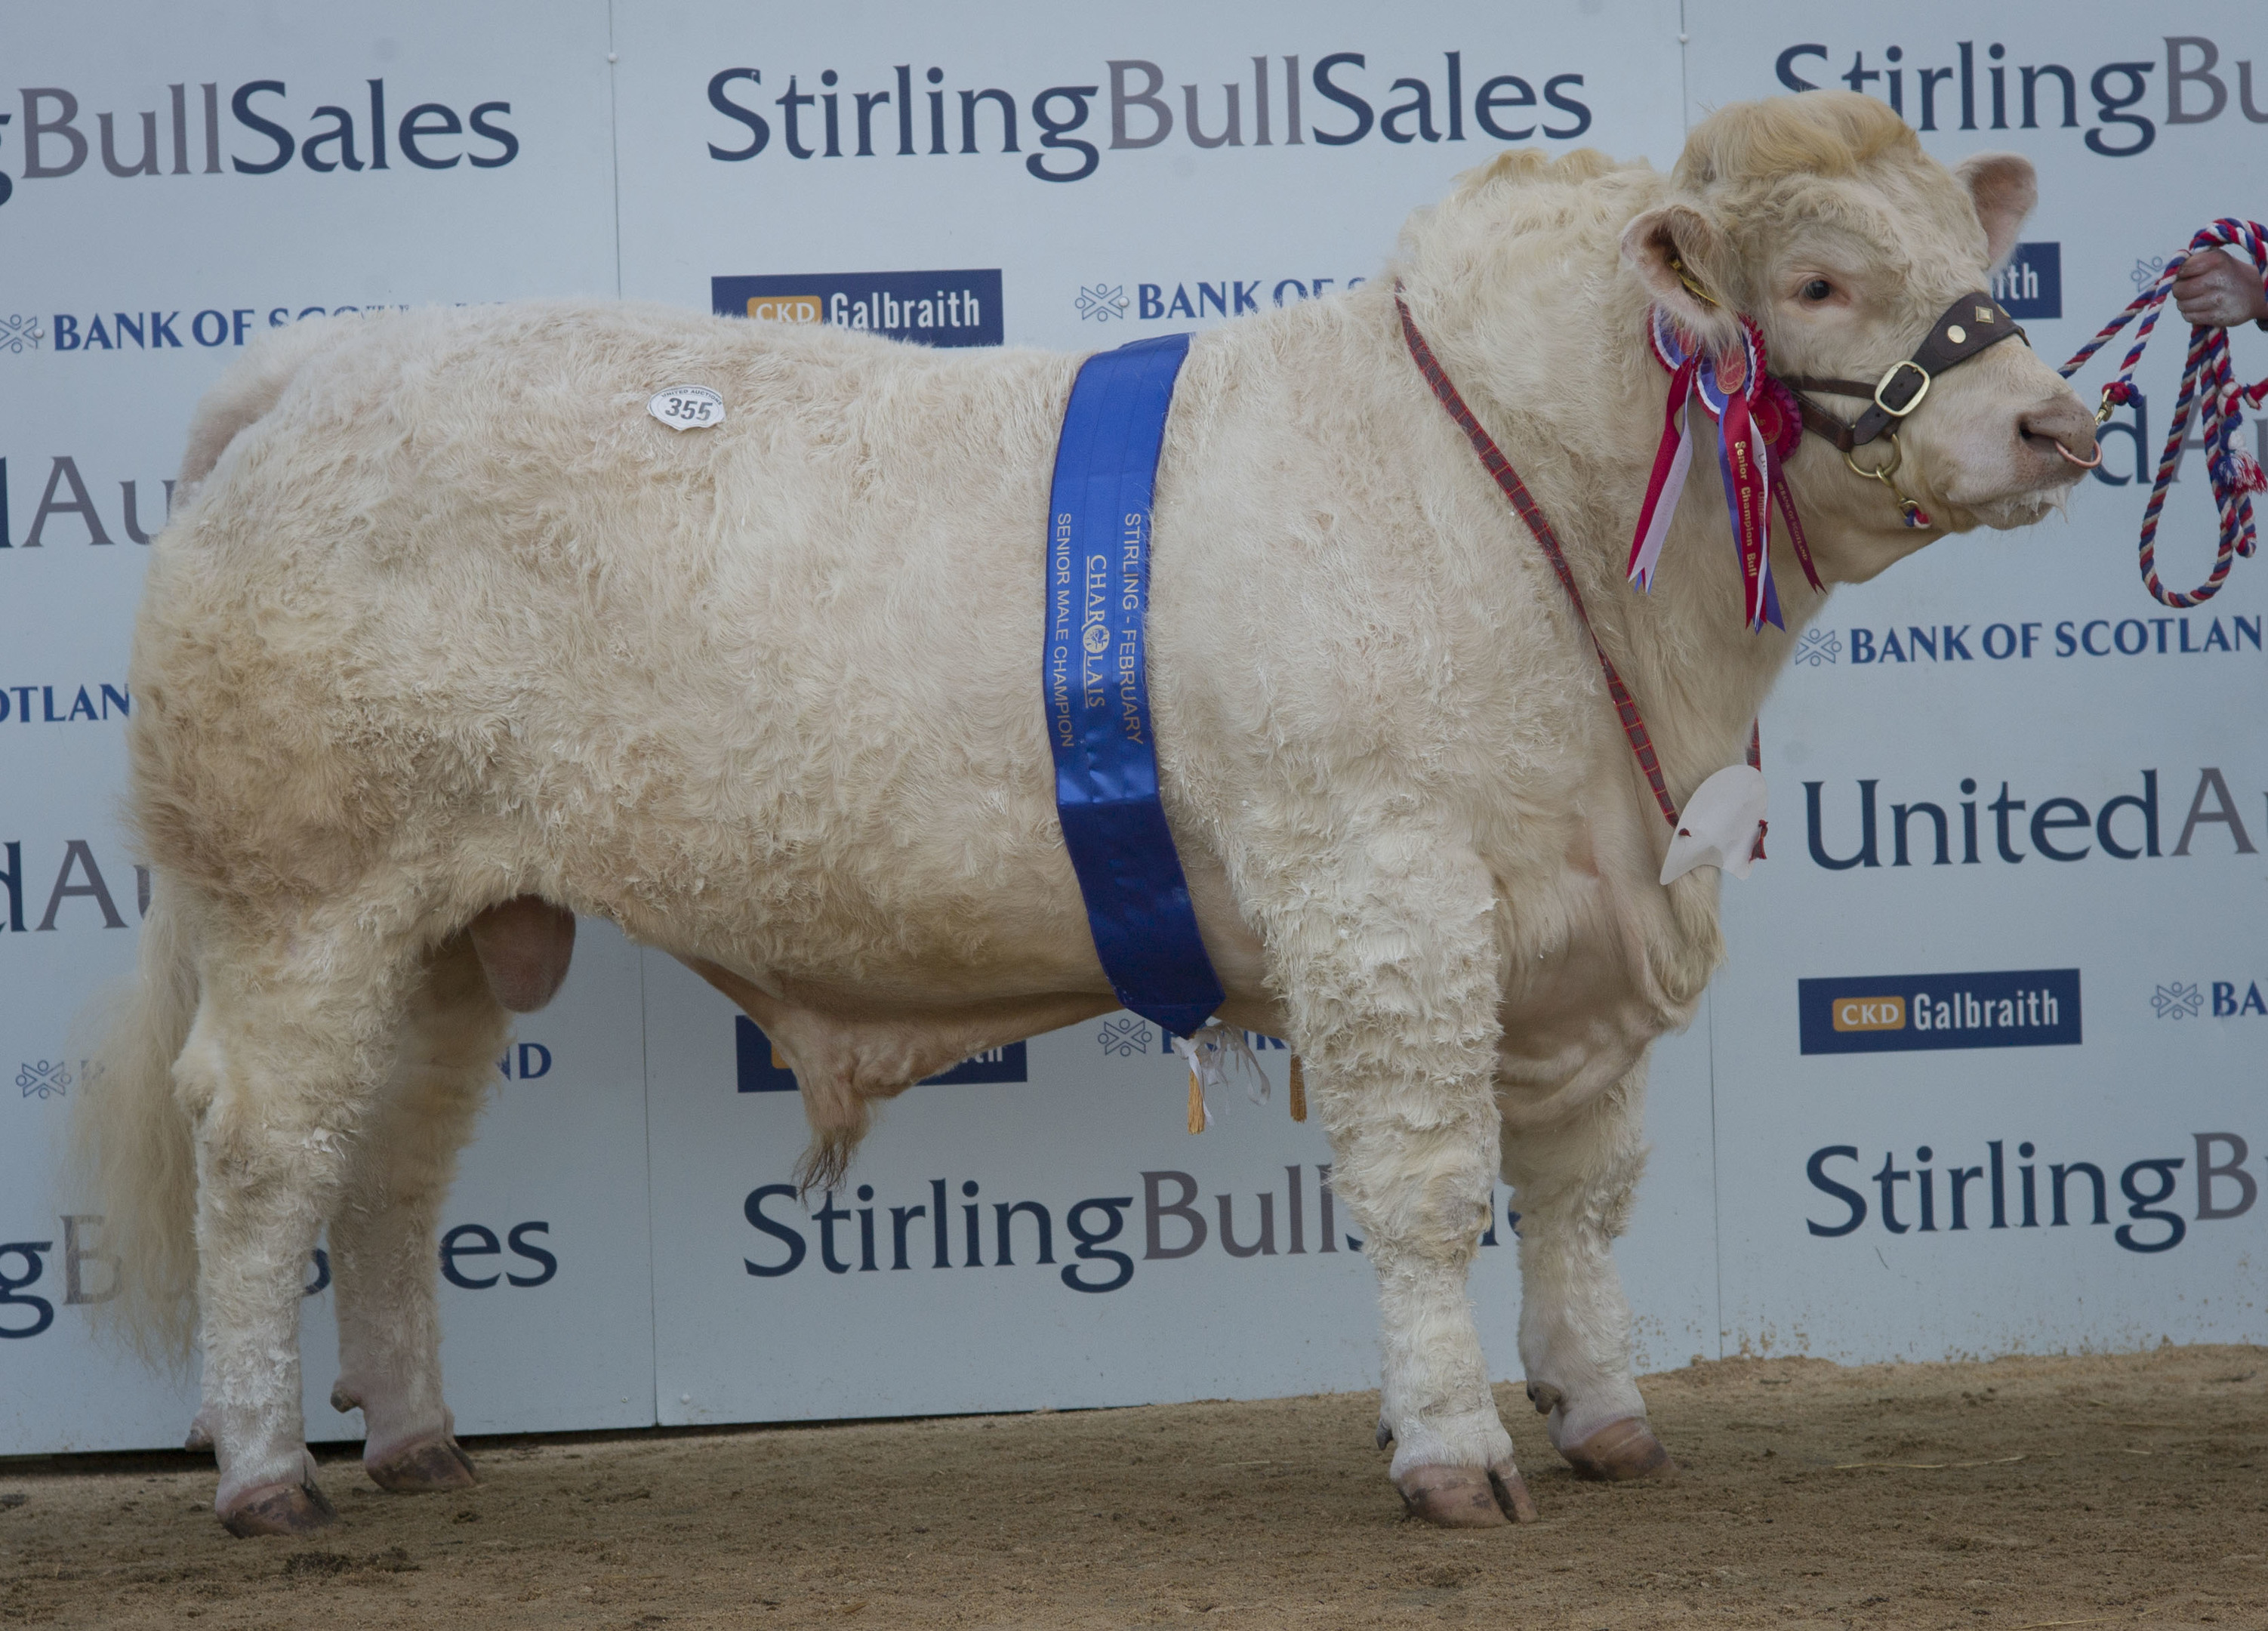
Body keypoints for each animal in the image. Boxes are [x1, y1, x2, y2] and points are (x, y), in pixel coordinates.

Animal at [75, 89, 2086, 1533]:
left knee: (394, 1171)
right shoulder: (1389, 893)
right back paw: (266, 1475)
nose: (2054, 424)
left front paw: (1603, 1416)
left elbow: (1579, 1196)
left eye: (1957, 242)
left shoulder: (1590, 918)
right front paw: (1450, 1452)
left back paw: (419, 1441)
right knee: (259, 1156)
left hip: (449, 928)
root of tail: (329, 364)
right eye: (1814, 279)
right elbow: (1431, 1189)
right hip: (303, 893)